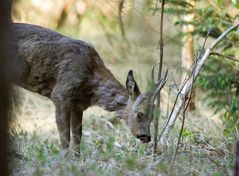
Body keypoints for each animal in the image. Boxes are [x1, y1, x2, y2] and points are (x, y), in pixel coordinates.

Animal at [11, 22, 164, 155]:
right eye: (139, 114)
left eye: (153, 116)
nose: (146, 137)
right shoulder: (60, 94)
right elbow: (65, 138)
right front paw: (64, 162)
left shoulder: (78, 105)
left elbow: (78, 138)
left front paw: (78, 161)